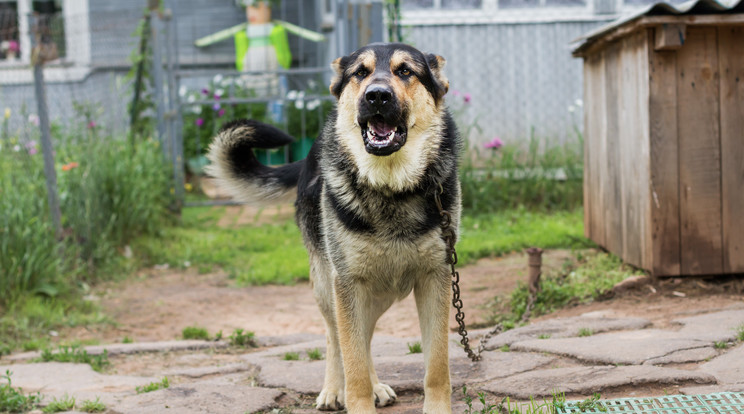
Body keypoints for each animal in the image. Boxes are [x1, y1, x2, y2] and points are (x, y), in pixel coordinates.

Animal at [205, 43, 460, 412]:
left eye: (405, 71)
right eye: (360, 73)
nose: (377, 96)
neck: (389, 185)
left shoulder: (435, 279)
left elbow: (436, 368)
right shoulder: (348, 282)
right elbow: (352, 365)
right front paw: (352, 395)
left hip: (379, 290)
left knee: (362, 336)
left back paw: (375, 385)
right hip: (330, 285)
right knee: (335, 335)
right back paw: (332, 390)